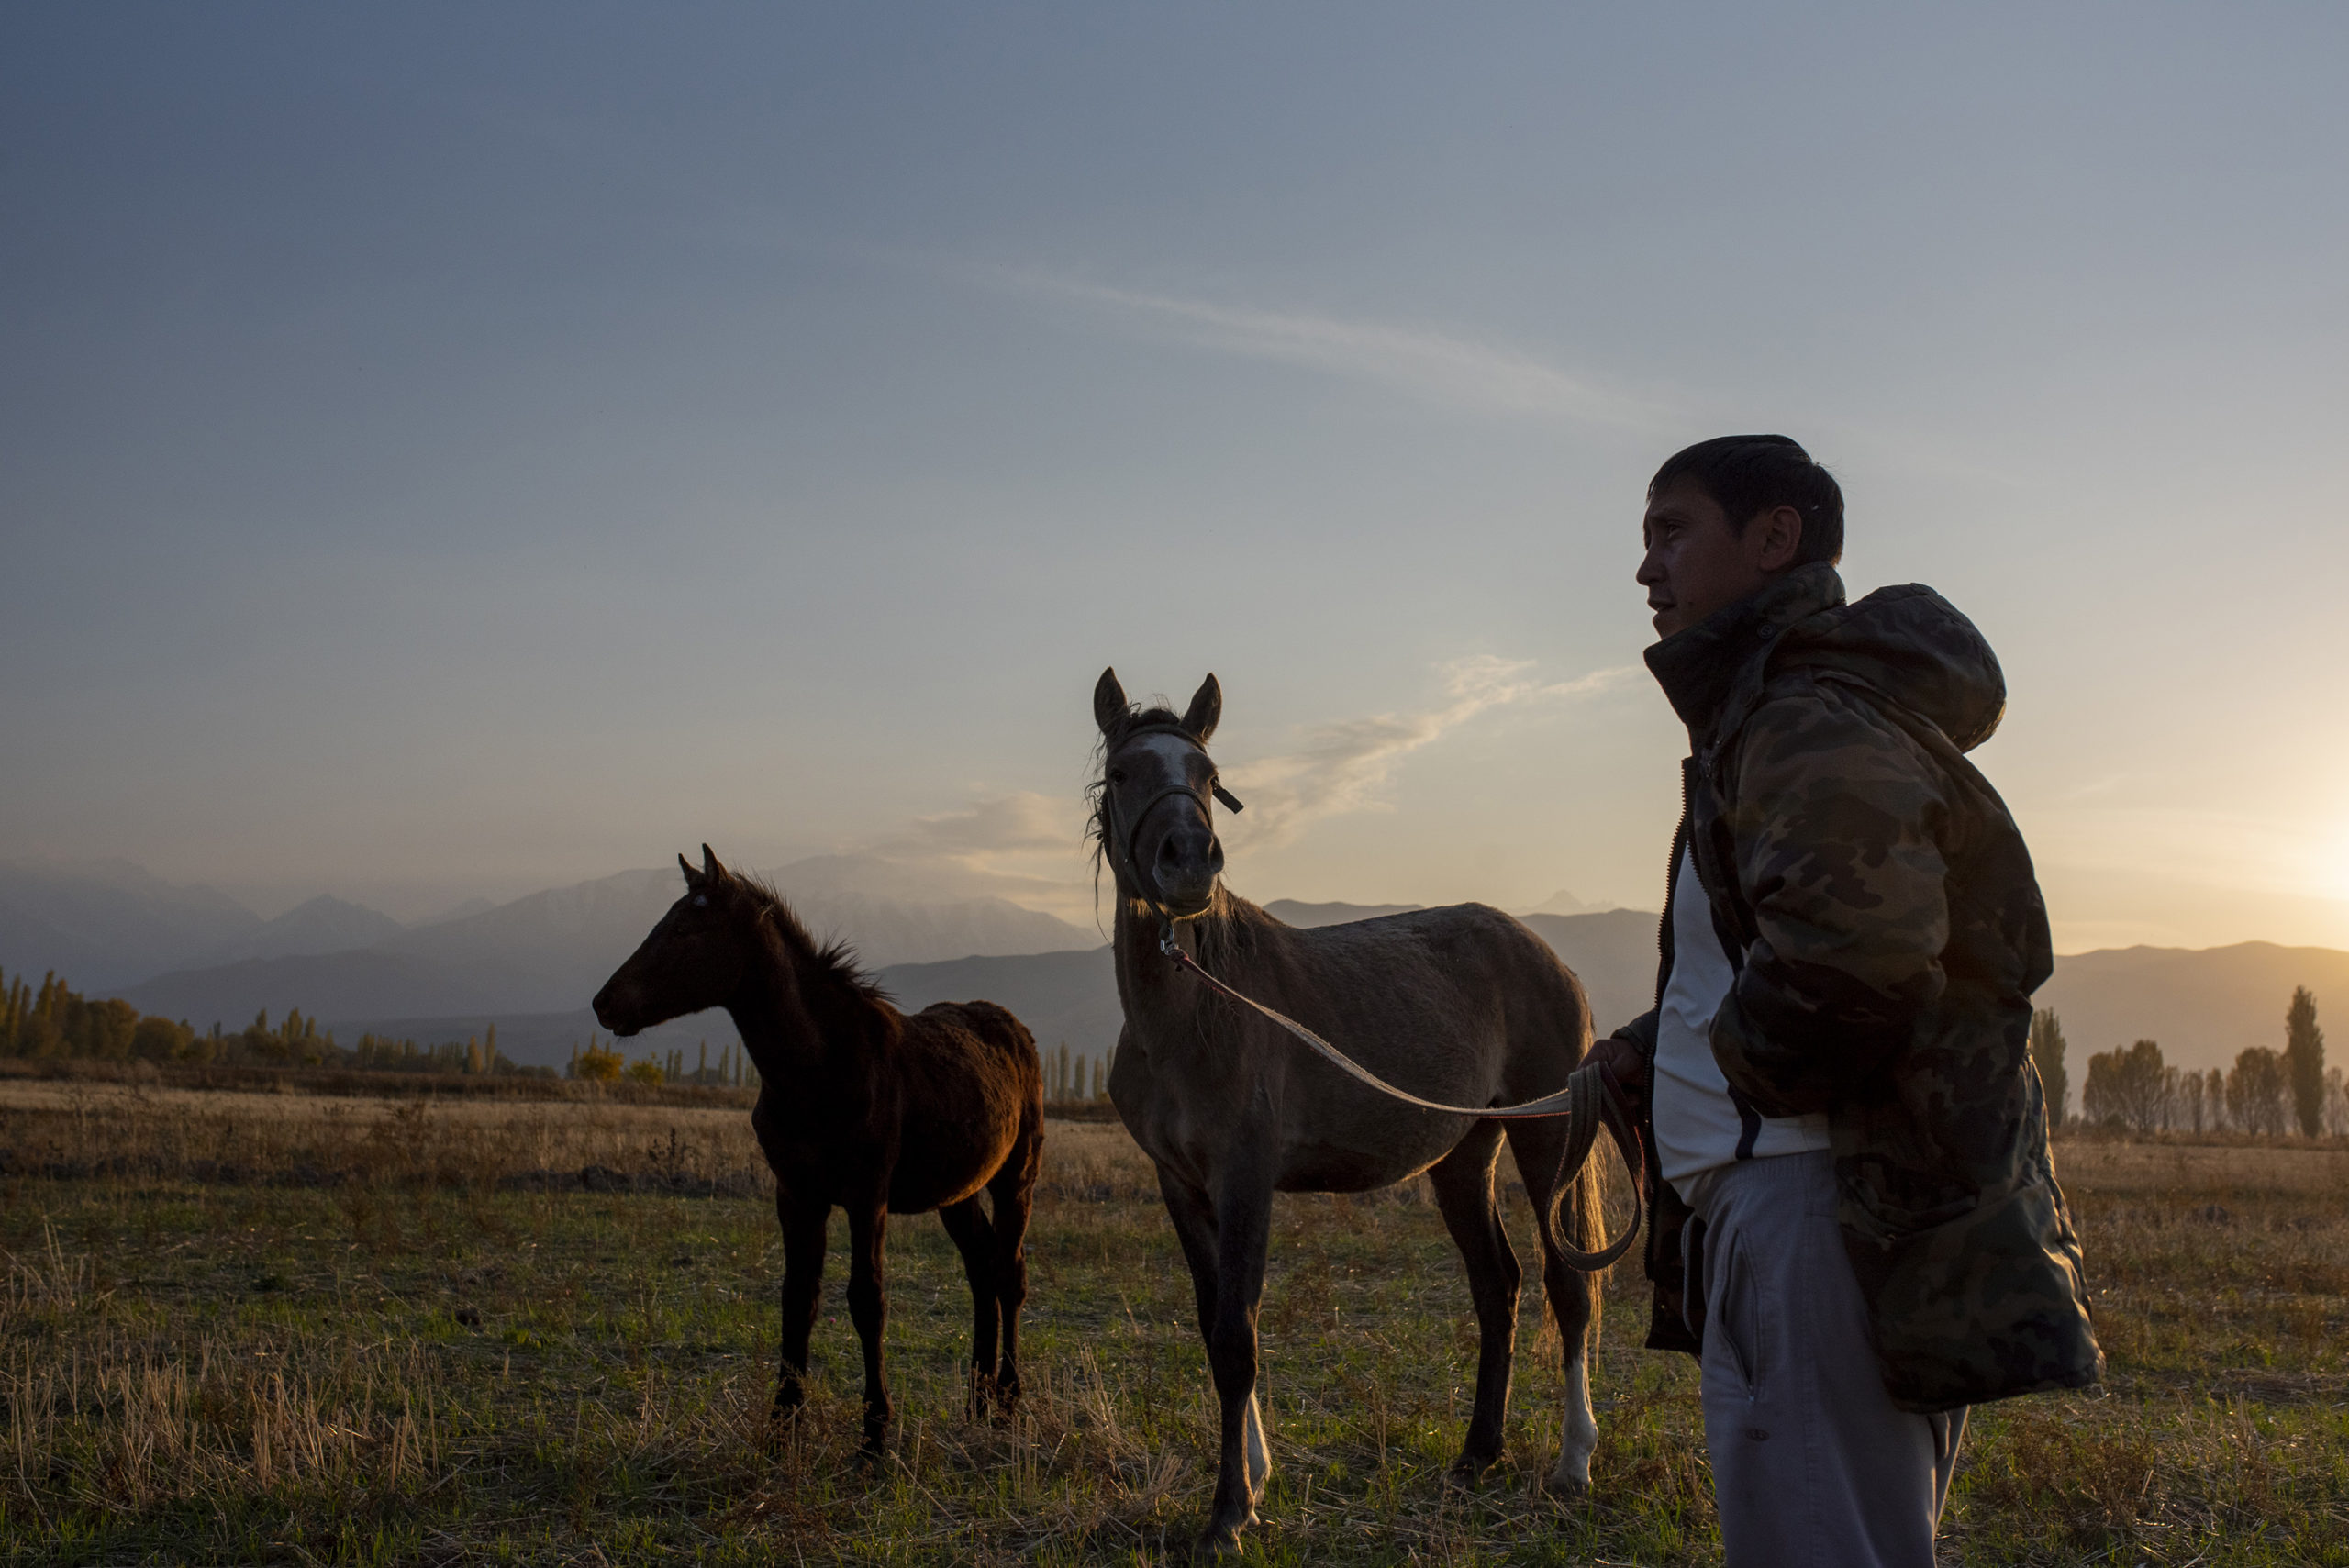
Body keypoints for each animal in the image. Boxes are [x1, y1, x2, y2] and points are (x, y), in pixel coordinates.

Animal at [1089, 671, 1607, 1558]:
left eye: (1207, 774)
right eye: (1123, 773)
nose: (1188, 860)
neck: (1195, 1009)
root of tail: (1549, 956)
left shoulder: (1245, 1179)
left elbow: (1238, 1335)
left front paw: (1228, 1511)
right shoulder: (1180, 1186)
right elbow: (1214, 1328)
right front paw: (1253, 1483)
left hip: (1544, 1144)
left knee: (1563, 1284)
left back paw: (1573, 1461)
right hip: (1464, 1155)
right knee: (1496, 1286)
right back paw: (1477, 1453)